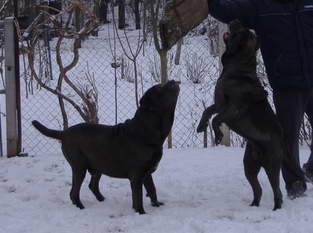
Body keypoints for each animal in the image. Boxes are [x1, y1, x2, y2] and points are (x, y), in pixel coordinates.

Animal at [32, 80, 178, 215]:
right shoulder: (136, 175)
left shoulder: (146, 173)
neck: (147, 128)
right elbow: (138, 197)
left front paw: (156, 204)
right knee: (74, 192)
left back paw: (102, 200)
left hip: (97, 166)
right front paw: (140, 213)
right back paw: (80, 207)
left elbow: (152, 189)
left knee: (92, 185)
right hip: (79, 167)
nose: (172, 80)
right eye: (159, 88)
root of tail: (64, 133)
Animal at [197, 19, 282, 209]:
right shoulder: (220, 103)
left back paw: (276, 208)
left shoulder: (234, 109)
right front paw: (201, 126)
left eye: (244, 33)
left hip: (272, 164)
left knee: (277, 191)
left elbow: (217, 119)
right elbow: (208, 111)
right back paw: (254, 205)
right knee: (258, 189)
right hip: (249, 165)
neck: (237, 67)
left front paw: (218, 135)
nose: (236, 20)